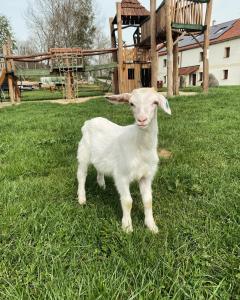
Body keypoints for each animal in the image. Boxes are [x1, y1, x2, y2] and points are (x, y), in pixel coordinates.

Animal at [77, 88, 171, 233]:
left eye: (155, 102)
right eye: (131, 103)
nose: (142, 120)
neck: (140, 146)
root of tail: (89, 122)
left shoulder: (146, 176)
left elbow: (148, 201)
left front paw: (152, 226)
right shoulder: (121, 175)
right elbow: (127, 201)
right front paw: (127, 227)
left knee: (99, 168)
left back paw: (102, 185)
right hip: (83, 153)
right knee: (81, 175)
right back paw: (82, 199)